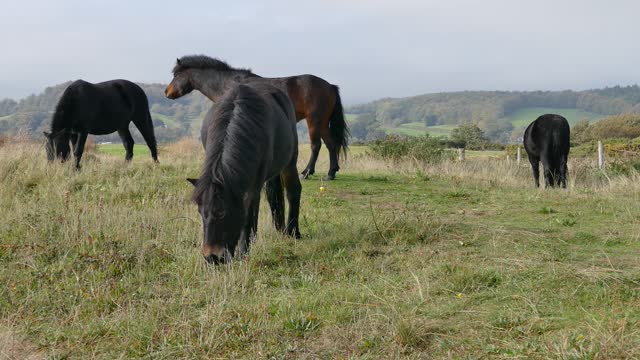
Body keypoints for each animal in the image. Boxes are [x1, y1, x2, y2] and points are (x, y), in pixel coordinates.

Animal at [166, 54, 350, 180]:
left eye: (176, 76)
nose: (166, 92)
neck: (228, 84)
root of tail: (330, 86)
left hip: (314, 121)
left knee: (316, 145)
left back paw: (307, 172)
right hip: (323, 122)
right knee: (331, 144)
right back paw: (331, 173)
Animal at [188, 83, 302, 266]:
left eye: (222, 212)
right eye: (200, 212)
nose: (212, 257)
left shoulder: (254, 183)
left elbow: (248, 214)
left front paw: (243, 253)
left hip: (290, 161)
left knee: (293, 190)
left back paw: (293, 232)